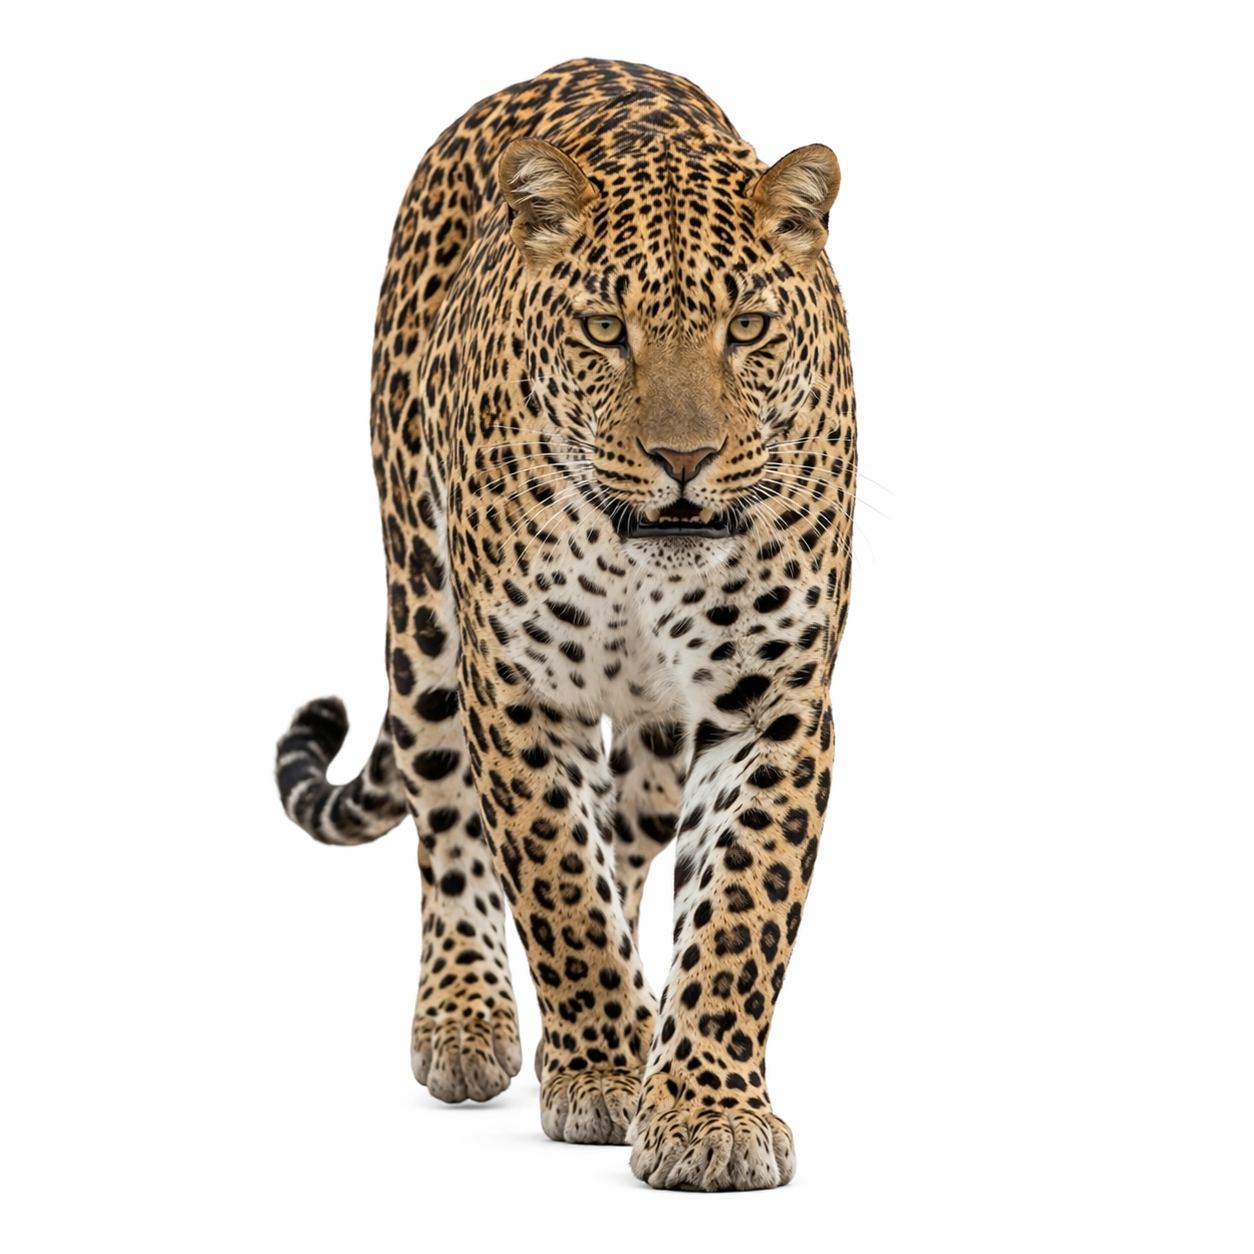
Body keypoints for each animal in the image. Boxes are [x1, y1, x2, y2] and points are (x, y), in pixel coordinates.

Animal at [275, 57, 856, 1191]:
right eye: (603, 329)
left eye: (747, 329)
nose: (684, 460)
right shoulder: (519, 686)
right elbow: (555, 882)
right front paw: (604, 1070)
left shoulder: (776, 705)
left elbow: (737, 913)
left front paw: (705, 1109)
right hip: (424, 618)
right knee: (451, 825)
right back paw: (468, 1018)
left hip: (656, 739)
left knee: (626, 842)